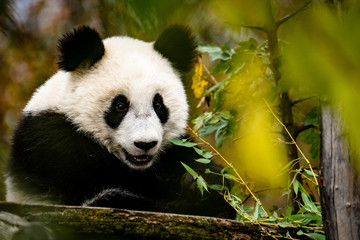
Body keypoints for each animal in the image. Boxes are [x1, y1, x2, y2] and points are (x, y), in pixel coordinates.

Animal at [5, 25, 236, 218]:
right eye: (120, 106)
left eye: (158, 105)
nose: (145, 144)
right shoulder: (52, 142)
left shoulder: (174, 148)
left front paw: (202, 179)